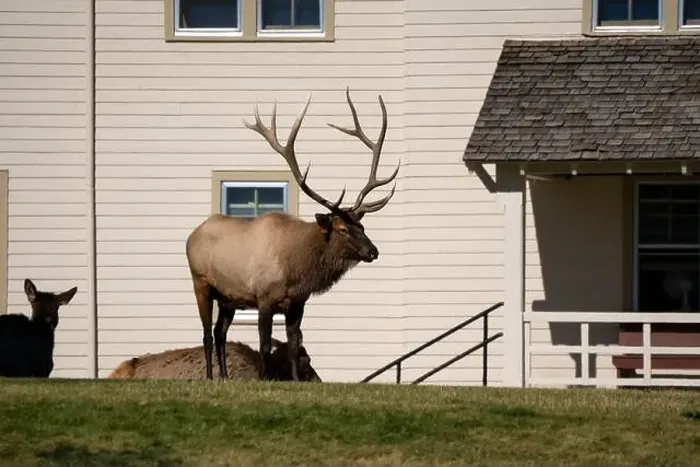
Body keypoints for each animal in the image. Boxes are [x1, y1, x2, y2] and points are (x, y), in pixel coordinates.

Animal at [185, 87, 400, 381]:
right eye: (343, 229)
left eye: (363, 227)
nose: (373, 251)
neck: (296, 270)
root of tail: (191, 235)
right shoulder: (264, 298)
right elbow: (264, 345)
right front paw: (265, 379)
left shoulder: (297, 303)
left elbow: (295, 344)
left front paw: (296, 381)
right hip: (201, 283)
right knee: (207, 333)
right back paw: (209, 377)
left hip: (228, 298)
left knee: (220, 333)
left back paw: (226, 377)